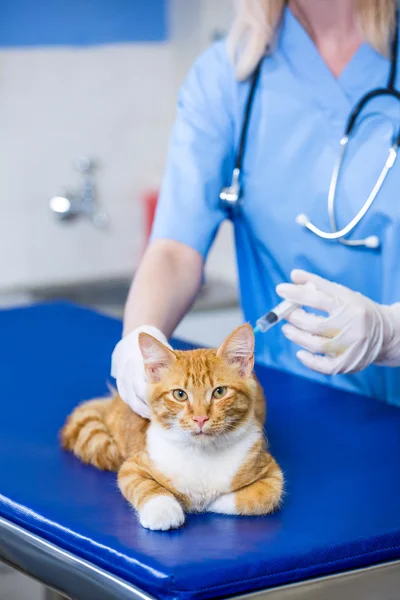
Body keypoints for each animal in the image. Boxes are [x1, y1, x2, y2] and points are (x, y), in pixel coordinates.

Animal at [61, 324, 282, 528]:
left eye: (219, 392)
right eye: (180, 394)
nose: (200, 418)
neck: (202, 453)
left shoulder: (272, 473)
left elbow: (260, 497)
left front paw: (210, 501)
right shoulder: (133, 466)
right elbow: (144, 485)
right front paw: (164, 510)